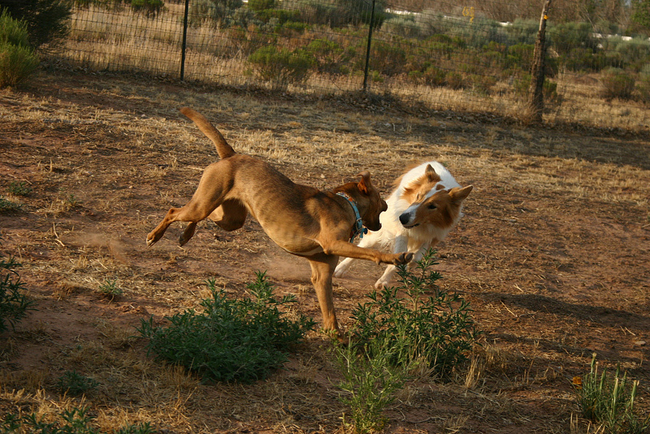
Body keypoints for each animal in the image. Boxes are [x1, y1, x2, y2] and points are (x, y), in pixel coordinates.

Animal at [334, 161, 470, 290]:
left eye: (432, 206)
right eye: (418, 195)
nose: (402, 218)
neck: (421, 225)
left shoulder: (432, 235)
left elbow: (416, 257)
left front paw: (406, 264)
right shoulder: (402, 231)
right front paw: (384, 279)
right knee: (363, 246)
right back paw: (341, 268)